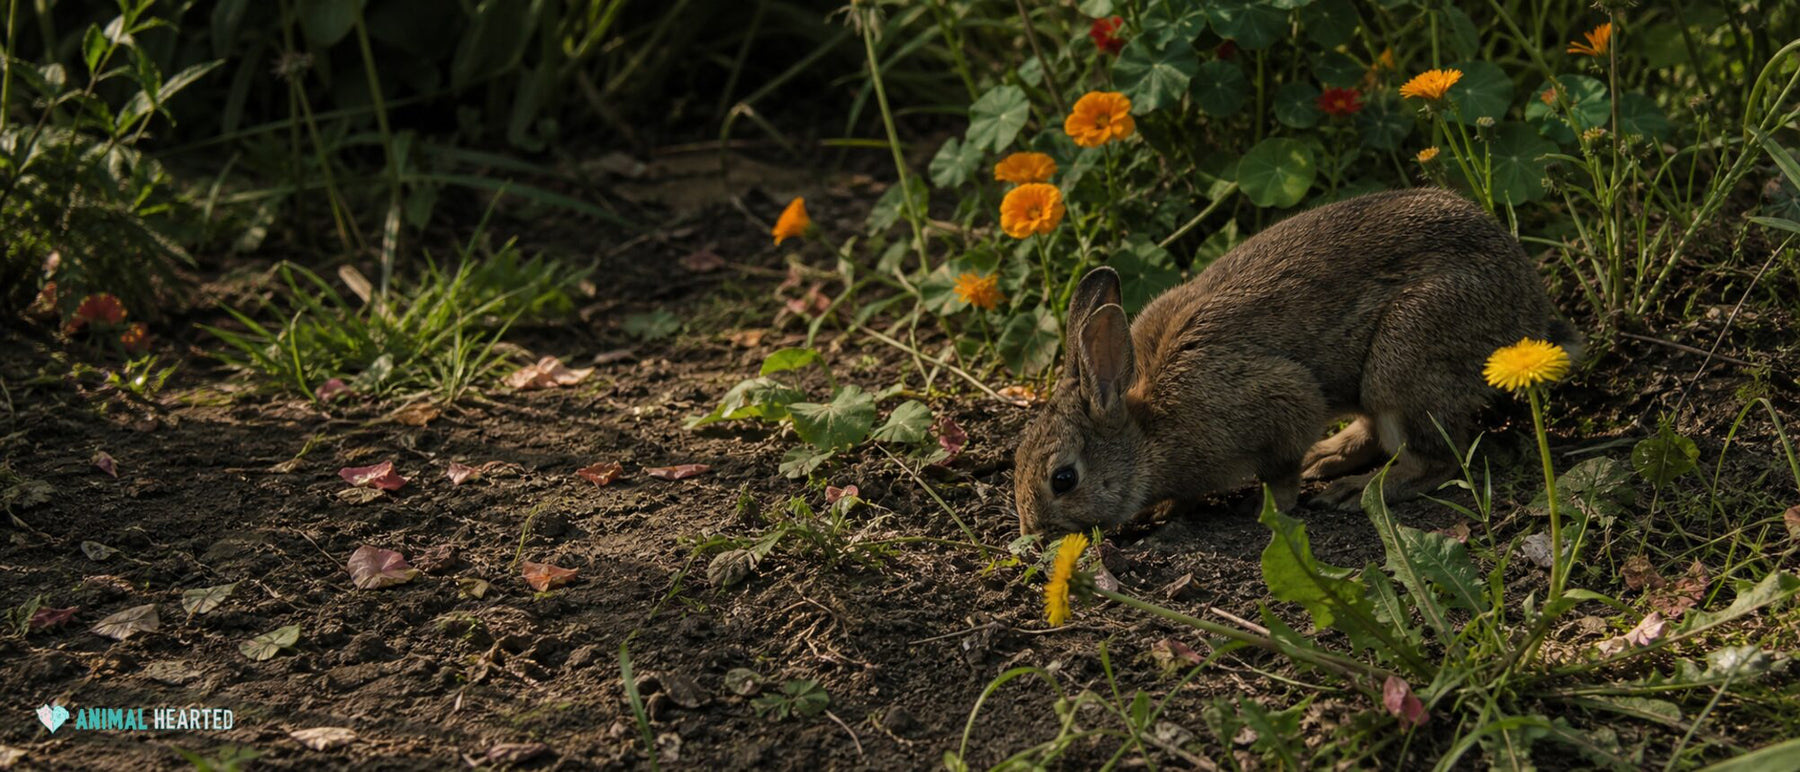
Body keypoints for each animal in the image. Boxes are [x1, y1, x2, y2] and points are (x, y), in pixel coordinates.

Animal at [1014, 188, 1581, 536]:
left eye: (1063, 479)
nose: (1033, 531)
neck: (1148, 425)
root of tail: (1529, 309)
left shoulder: (1279, 404)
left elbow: (1281, 471)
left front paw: (1262, 506)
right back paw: (1327, 459)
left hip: (1404, 361)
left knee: (1435, 457)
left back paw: (1353, 490)